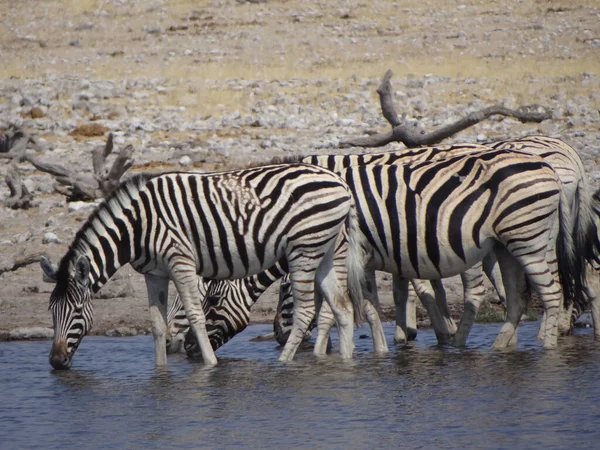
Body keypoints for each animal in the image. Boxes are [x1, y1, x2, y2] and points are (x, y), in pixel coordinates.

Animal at [38, 163, 366, 370]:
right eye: (51, 311)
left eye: (77, 311)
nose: (55, 362)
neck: (136, 226)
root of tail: (340, 183)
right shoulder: (153, 273)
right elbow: (156, 324)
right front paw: (159, 370)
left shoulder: (180, 261)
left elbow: (195, 316)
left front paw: (210, 366)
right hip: (322, 250)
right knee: (342, 307)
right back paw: (347, 361)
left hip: (304, 249)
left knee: (307, 312)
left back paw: (283, 363)